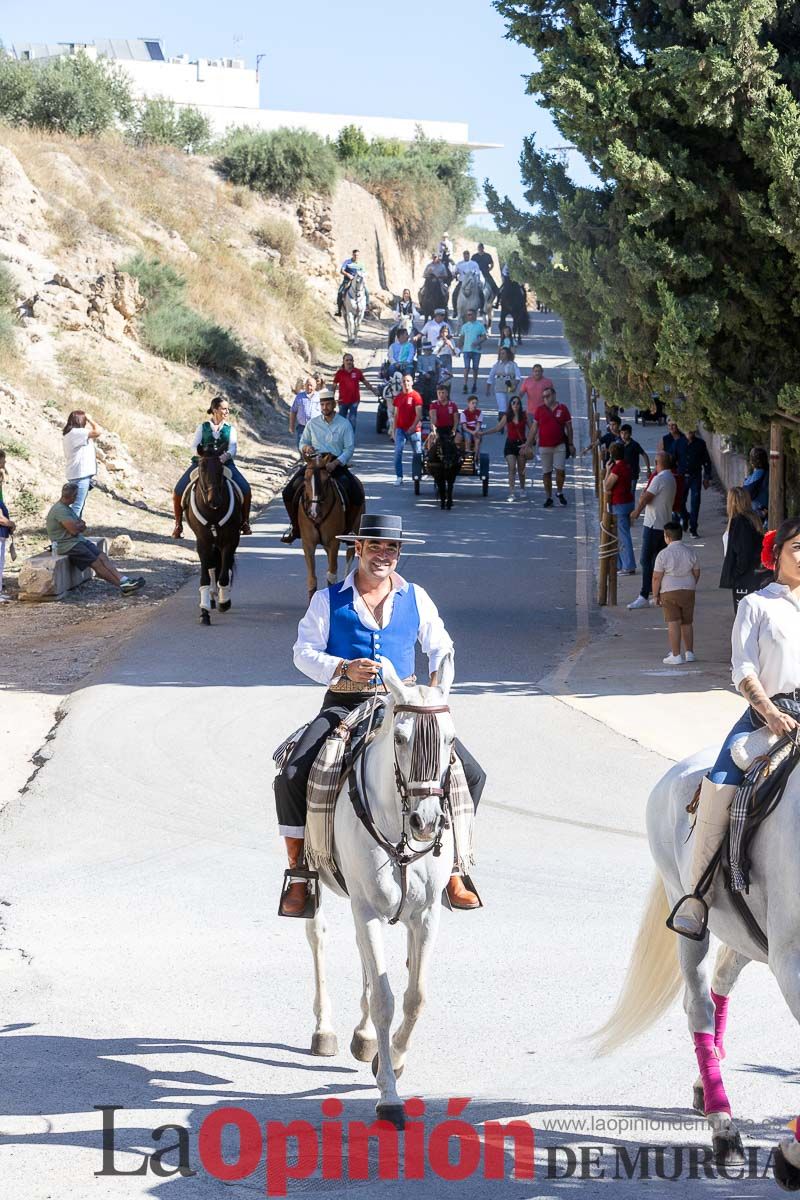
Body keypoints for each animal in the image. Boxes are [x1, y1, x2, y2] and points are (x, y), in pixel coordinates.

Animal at [183, 446, 241, 624]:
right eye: (201, 468)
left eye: (221, 467)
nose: (213, 500)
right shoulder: (203, 542)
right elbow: (205, 577)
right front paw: (204, 611)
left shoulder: (230, 540)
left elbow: (224, 574)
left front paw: (224, 602)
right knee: (212, 568)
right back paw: (212, 597)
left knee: (222, 567)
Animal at [298, 451, 364, 597]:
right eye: (305, 478)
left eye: (326, 479)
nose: (314, 512)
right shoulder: (308, 543)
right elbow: (312, 579)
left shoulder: (334, 542)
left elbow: (332, 575)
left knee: (349, 556)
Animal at [304, 657, 455, 1123]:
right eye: (401, 738)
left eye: (451, 739)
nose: (427, 822)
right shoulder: (367, 907)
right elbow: (387, 999)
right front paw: (389, 1095)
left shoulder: (425, 914)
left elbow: (414, 996)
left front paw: (396, 1059)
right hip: (315, 881)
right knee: (318, 937)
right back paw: (325, 1030)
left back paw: (365, 1036)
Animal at [594, 739, 800, 1171]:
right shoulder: (791, 962)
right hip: (689, 918)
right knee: (699, 1005)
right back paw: (724, 1128)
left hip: (746, 935)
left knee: (722, 981)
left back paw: (707, 1088)